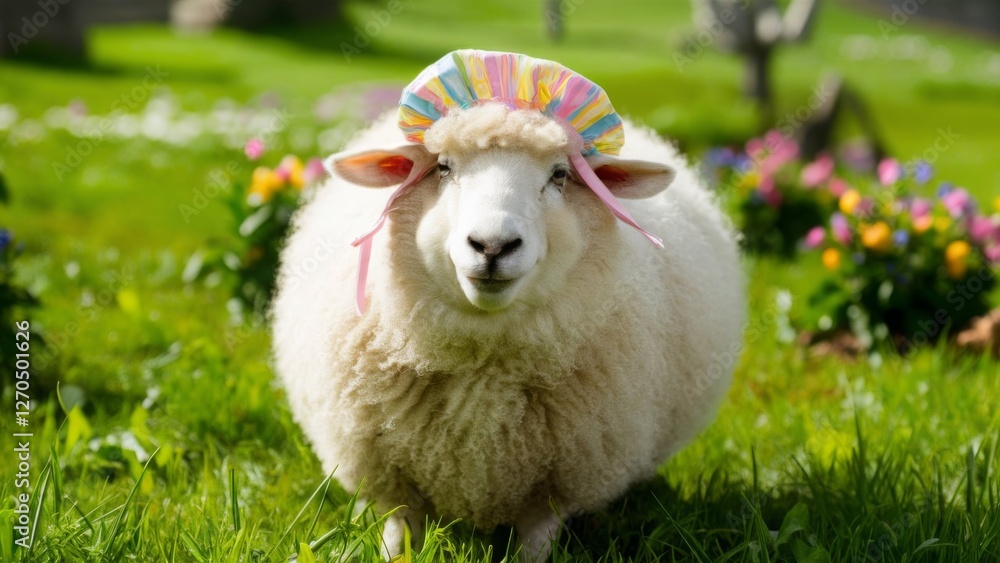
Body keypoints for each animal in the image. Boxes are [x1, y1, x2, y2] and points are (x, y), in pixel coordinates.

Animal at [272, 55, 745, 561]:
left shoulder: (558, 483)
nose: (492, 245)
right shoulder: (389, 474)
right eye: (442, 167)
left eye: (559, 175)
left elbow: (534, 542)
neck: (485, 366)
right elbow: (400, 533)